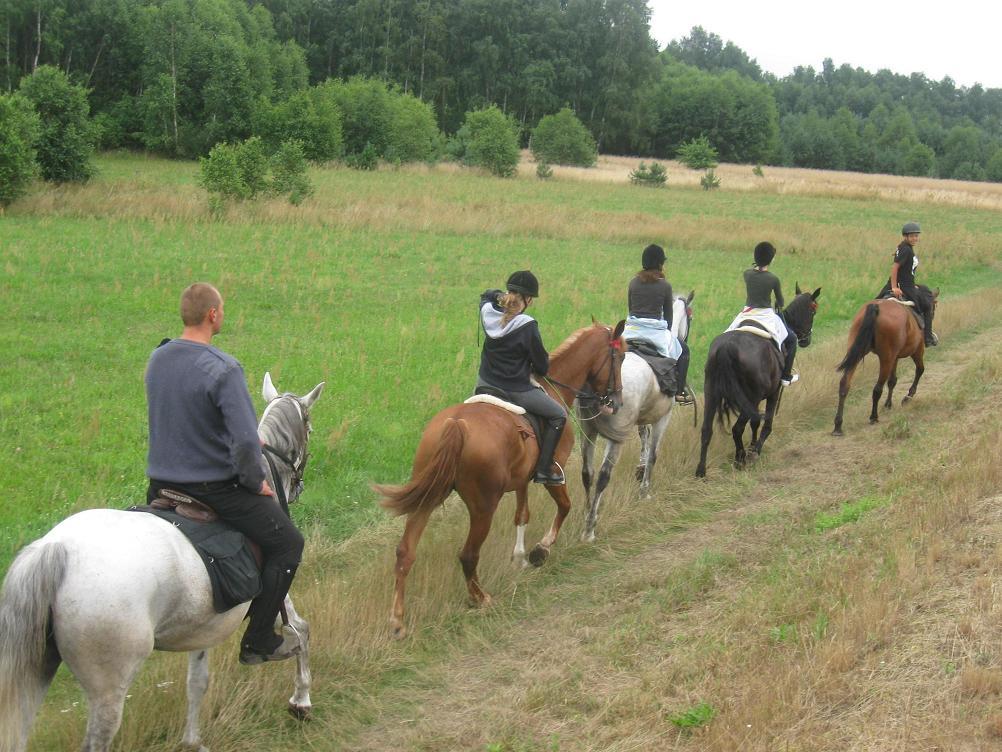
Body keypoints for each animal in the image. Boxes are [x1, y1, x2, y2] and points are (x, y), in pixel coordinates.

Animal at [0, 374, 320, 752]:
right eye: (310, 428)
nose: (299, 487)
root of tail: (56, 551)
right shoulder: (278, 580)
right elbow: (300, 629)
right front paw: (301, 700)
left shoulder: (207, 626)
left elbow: (197, 681)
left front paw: (193, 741)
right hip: (109, 685)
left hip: (35, 670)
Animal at [376, 320, 625, 637]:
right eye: (621, 357)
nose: (615, 401)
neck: (552, 386)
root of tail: (456, 424)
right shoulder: (550, 475)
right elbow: (564, 506)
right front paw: (540, 550)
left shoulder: (521, 481)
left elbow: (522, 515)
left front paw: (519, 558)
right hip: (483, 506)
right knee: (468, 555)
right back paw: (480, 598)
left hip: (428, 498)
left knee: (405, 552)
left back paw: (397, 620)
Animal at [577, 290, 693, 545]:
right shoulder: (663, 417)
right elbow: (654, 454)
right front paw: (644, 490)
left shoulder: (644, 416)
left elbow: (643, 436)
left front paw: (640, 470)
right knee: (603, 475)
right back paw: (590, 528)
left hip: (588, 431)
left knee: (587, 473)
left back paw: (588, 512)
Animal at [697, 284, 821, 479]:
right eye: (813, 310)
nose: (806, 340)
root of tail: (727, 347)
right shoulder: (772, 393)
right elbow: (766, 423)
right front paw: (755, 450)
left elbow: (755, 423)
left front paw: (752, 445)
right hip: (751, 397)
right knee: (737, 428)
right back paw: (740, 460)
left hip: (712, 394)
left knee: (706, 430)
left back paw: (701, 470)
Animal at [829, 290, 937, 439]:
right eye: (933, 309)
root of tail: (876, 307)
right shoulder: (917, 351)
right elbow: (920, 370)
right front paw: (907, 397)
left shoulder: (895, 357)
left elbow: (892, 381)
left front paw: (888, 404)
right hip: (886, 357)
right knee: (877, 388)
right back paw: (873, 416)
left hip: (858, 354)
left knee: (844, 384)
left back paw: (838, 425)